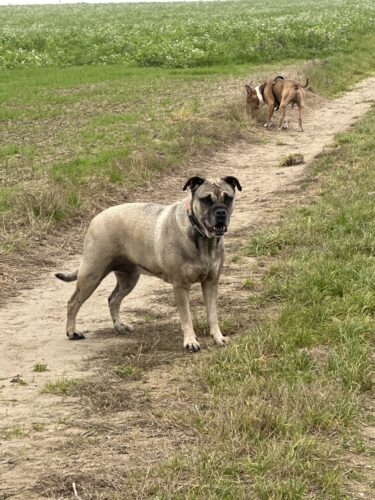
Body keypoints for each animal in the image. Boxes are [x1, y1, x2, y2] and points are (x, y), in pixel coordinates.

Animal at [56, 176, 244, 352]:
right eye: (206, 200)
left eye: (228, 198)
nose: (221, 213)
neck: (201, 237)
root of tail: (96, 218)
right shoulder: (180, 286)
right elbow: (186, 317)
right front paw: (190, 341)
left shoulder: (211, 282)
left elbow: (212, 314)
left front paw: (218, 338)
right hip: (92, 274)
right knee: (73, 303)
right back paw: (72, 332)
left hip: (128, 279)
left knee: (113, 299)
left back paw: (119, 326)